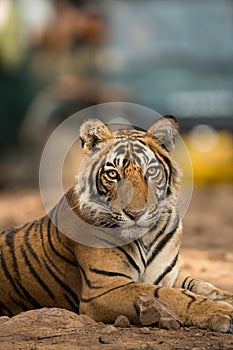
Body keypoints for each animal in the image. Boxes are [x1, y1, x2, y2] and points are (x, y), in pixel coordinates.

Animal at [0, 116, 232, 332]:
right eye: (113, 174)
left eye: (151, 172)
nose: (135, 214)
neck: (146, 238)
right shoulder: (103, 289)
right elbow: (172, 295)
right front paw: (221, 311)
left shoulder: (167, 274)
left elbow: (203, 286)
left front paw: (224, 299)